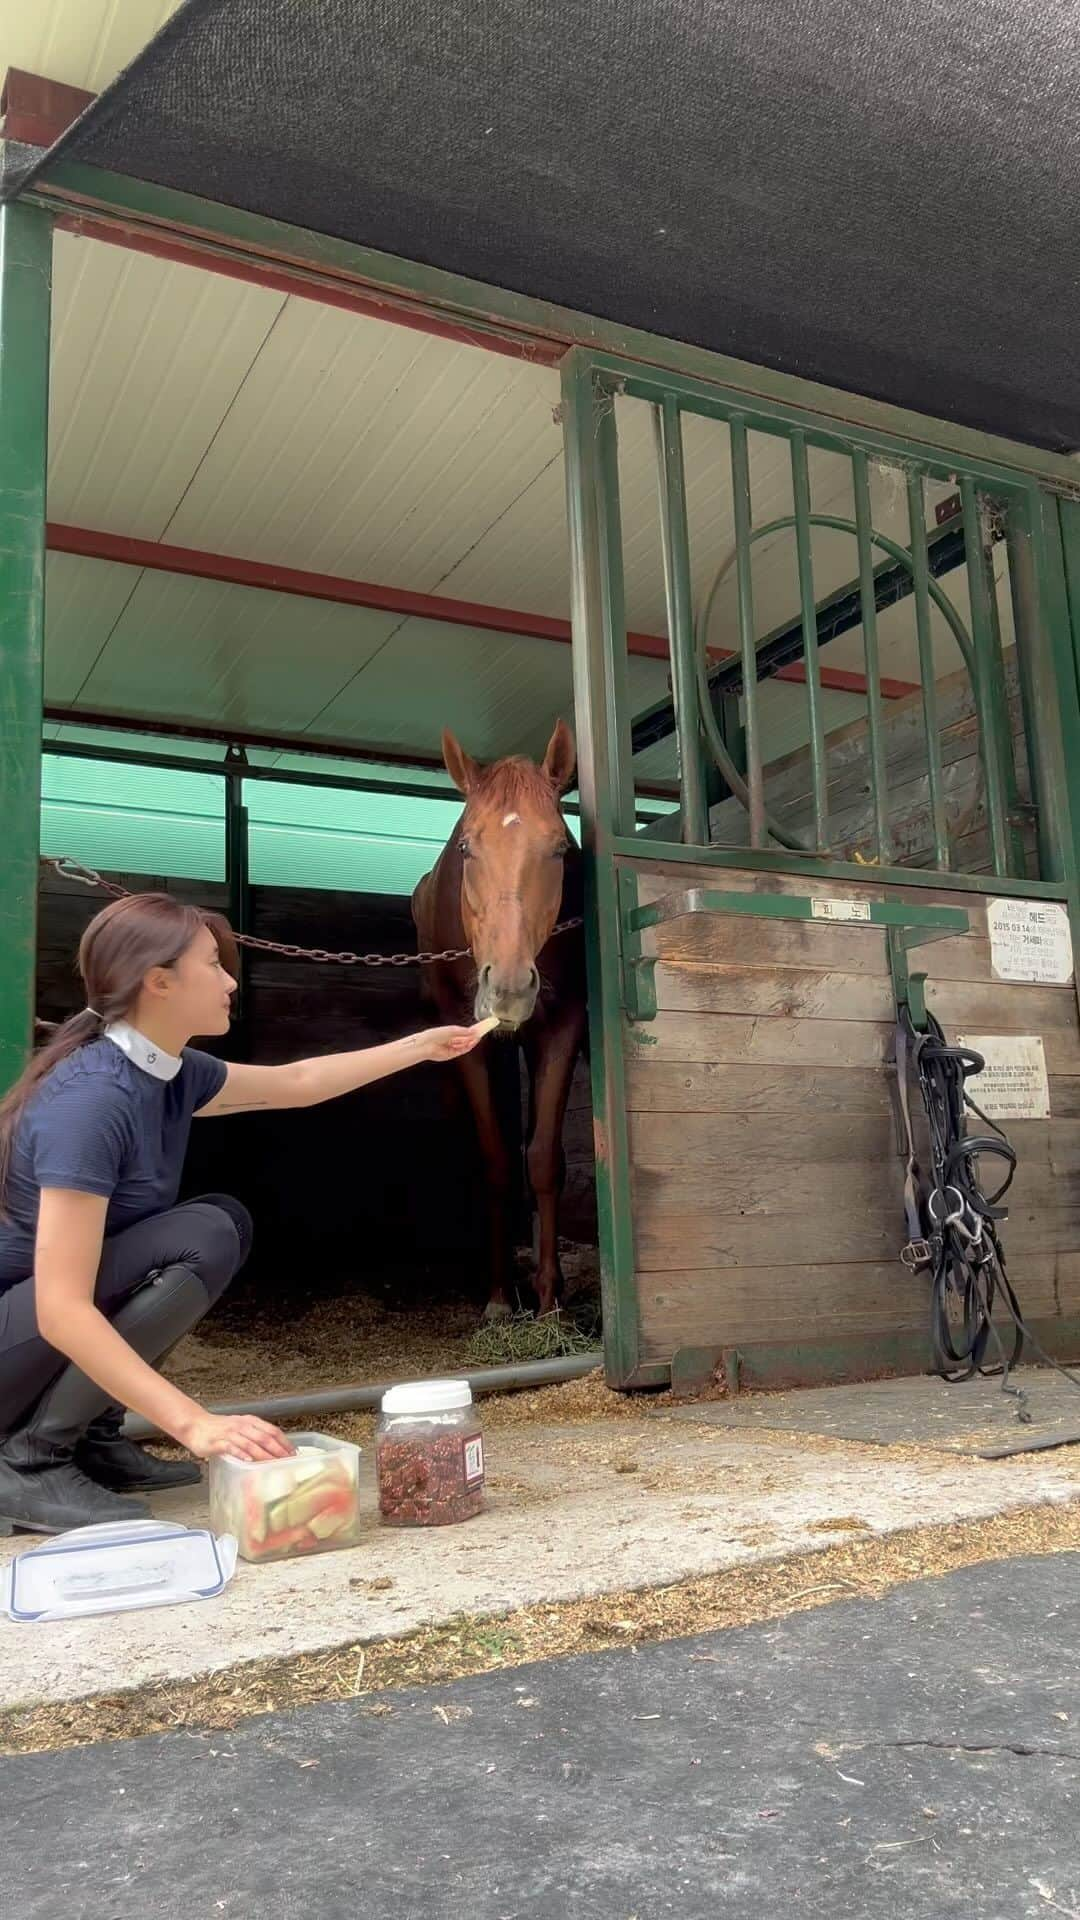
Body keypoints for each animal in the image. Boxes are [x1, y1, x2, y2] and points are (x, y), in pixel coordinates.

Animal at [409, 721, 584, 1320]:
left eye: (560, 848)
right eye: (466, 847)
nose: (507, 987)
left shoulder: (561, 1027)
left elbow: (543, 1159)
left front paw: (549, 1303)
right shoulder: (469, 1038)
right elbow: (495, 1159)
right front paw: (499, 1298)